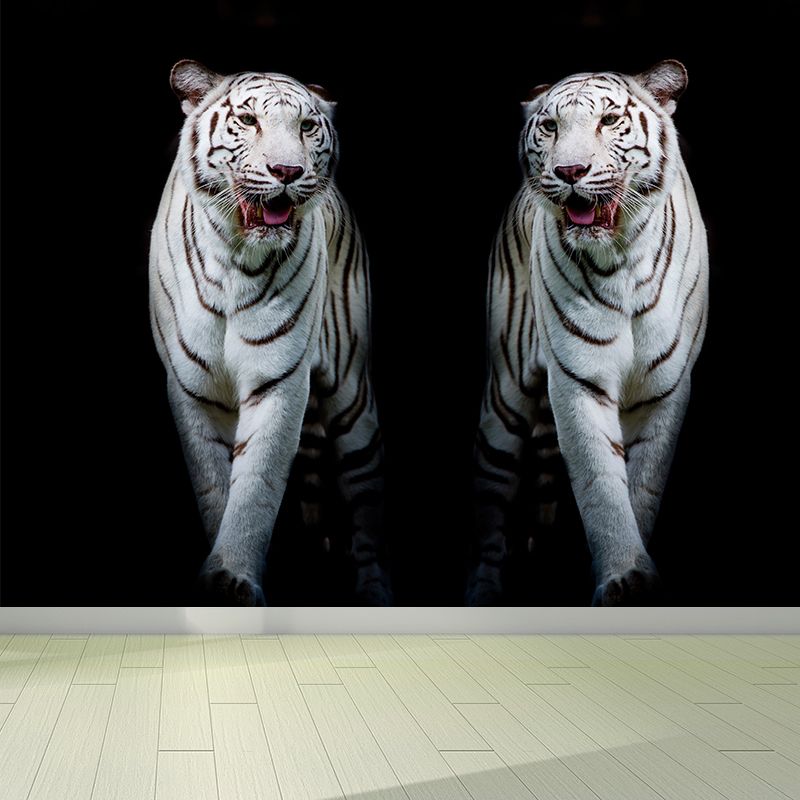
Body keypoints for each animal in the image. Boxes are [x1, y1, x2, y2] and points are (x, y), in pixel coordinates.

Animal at [149, 60, 390, 606]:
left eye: (307, 126)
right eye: (248, 120)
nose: (287, 172)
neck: (234, 259)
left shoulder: (279, 379)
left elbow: (257, 483)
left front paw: (233, 578)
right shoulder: (192, 388)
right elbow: (215, 484)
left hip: (351, 396)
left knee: (367, 499)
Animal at [469, 60, 708, 606]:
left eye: (609, 120)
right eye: (550, 126)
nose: (569, 172)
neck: (623, 259)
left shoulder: (665, 388)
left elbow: (642, 484)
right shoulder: (578, 380)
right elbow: (600, 483)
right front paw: (624, 577)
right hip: (505, 398)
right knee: (490, 503)